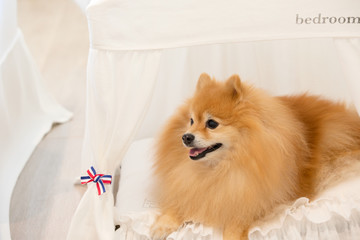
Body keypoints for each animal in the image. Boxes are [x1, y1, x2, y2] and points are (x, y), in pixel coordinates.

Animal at [150, 73, 360, 240]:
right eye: (191, 121)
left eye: (212, 124)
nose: (186, 137)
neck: (217, 169)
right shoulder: (187, 187)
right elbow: (177, 203)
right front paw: (162, 225)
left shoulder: (255, 195)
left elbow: (239, 217)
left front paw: (232, 235)